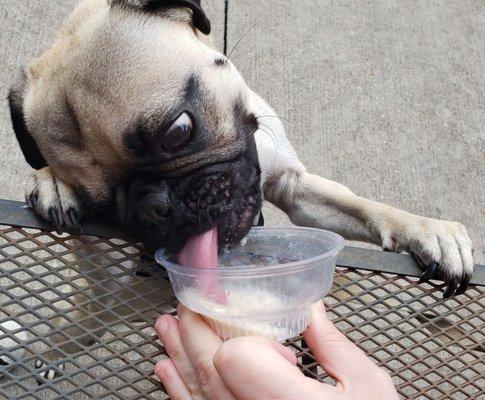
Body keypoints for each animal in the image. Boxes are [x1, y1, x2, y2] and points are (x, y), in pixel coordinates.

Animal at [7, 0, 474, 376]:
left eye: (177, 132)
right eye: (103, 209)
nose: (156, 205)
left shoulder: (294, 184)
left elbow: (363, 206)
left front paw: (430, 231)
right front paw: (50, 179)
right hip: (106, 300)